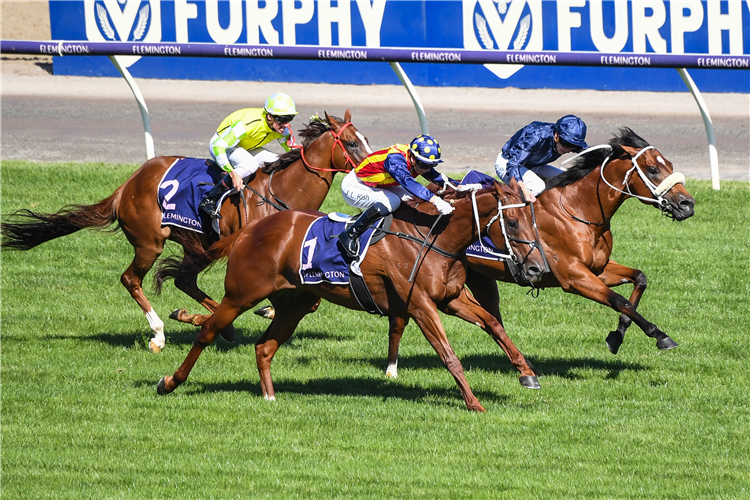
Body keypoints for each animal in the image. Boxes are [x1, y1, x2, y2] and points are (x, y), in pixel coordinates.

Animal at [0, 110, 370, 352]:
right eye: (351, 143)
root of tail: (129, 184)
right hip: (151, 242)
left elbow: (310, 303)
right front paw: (262, 310)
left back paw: (205, 322)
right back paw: (160, 334)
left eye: (365, 140)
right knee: (132, 279)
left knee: (184, 281)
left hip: (195, 242)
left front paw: (258, 312)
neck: (282, 191)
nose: (370, 169)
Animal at [156, 180, 548, 410]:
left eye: (534, 221)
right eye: (513, 223)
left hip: (294, 303)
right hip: (242, 293)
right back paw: (169, 381)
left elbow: (493, 324)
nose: (535, 269)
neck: (434, 238)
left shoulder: (451, 299)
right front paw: (473, 402)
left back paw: (269, 395)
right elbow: (448, 354)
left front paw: (527, 373)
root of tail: (249, 229)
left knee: (264, 347)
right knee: (208, 331)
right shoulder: (419, 303)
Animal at [388, 129, 700, 378]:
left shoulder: (598, 270)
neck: (579, 211)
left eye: (670, 164)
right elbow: (620, 301)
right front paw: (660, 335)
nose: (687, 204)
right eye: (652, 169)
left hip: (480, 278)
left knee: (492, 317)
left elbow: (639, 279)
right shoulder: (574, 277)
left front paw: (617, 336)